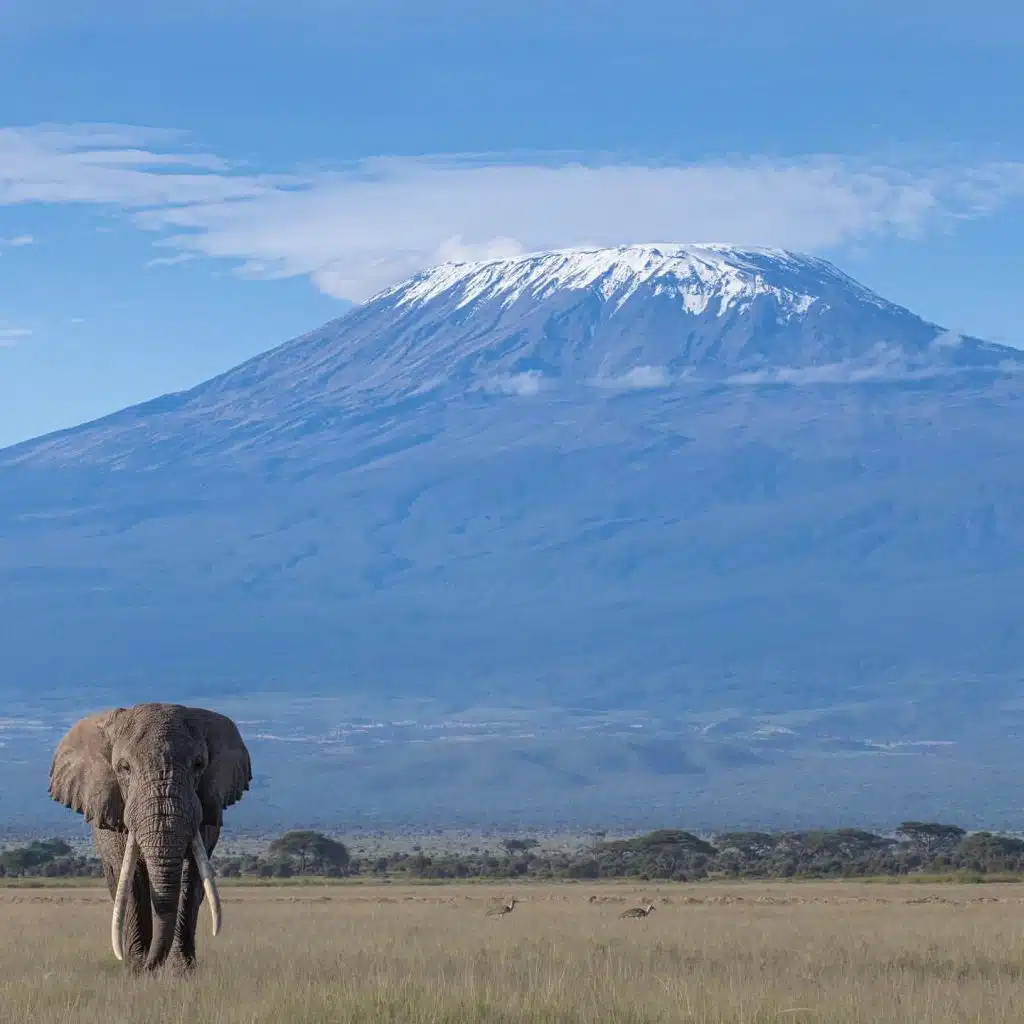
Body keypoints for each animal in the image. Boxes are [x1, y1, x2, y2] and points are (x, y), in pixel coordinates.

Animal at [48, 700, 252, 970]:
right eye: (124, 768)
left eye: (198, 764)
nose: (150, 966)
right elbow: (130, 879)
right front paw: (137, 969)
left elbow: (190, 877)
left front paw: (179, 972)